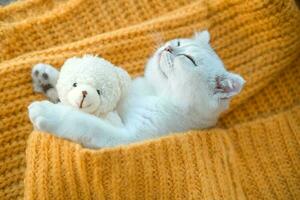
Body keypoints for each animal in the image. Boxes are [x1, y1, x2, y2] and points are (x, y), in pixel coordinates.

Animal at [28, 30, 245, 148]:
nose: (167, 48)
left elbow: (85, 122)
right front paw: (50, 79)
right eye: (178, 42)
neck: (154, 91)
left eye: (189, 59)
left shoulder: (128, 138)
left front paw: (49, 112)